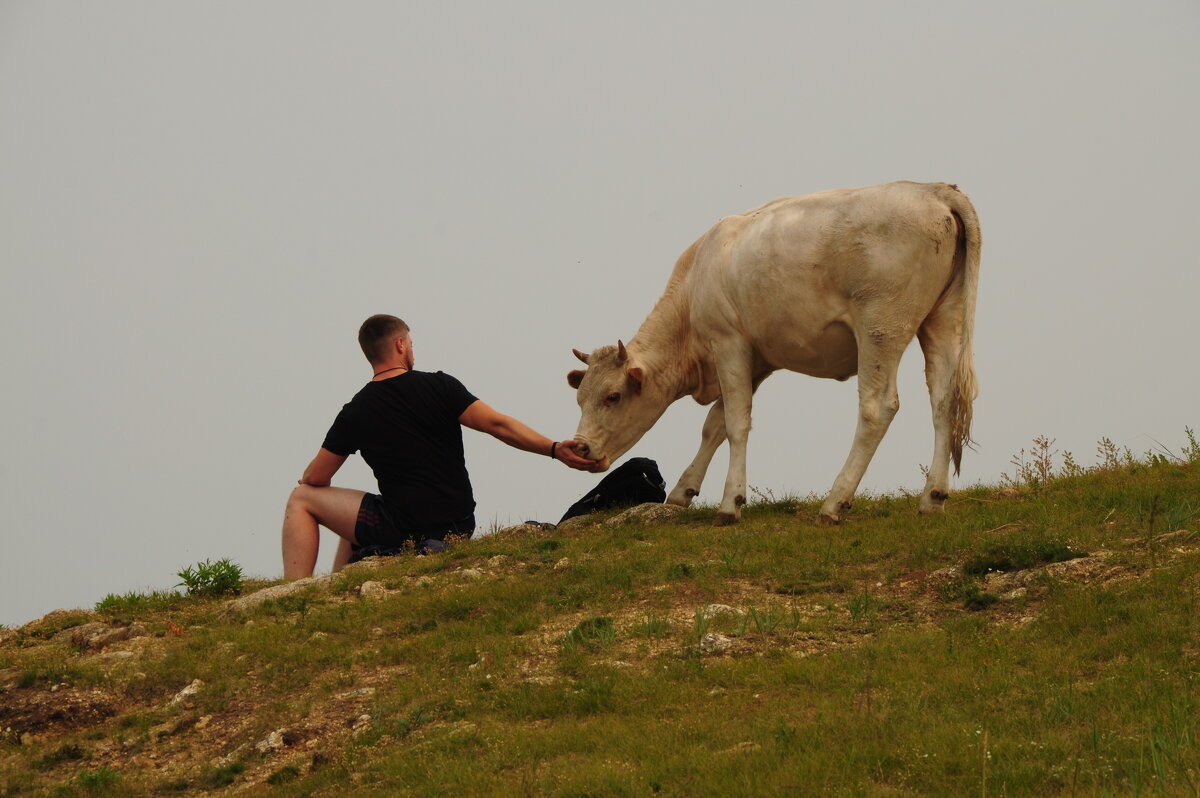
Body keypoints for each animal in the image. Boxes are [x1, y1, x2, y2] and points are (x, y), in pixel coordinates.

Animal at [566, 182, 979, 525]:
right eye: (580, 398)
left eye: (613, 396)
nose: (580, 448)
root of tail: (932, 189)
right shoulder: (758, 360)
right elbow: (715, 424)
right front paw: (684, 491)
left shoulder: (728, 343)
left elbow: (735, 423)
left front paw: (730, 504)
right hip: (942, 319)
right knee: (943, 400)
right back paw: (932, 497)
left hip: (882, 326)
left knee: (878, 407)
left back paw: (834, 502)